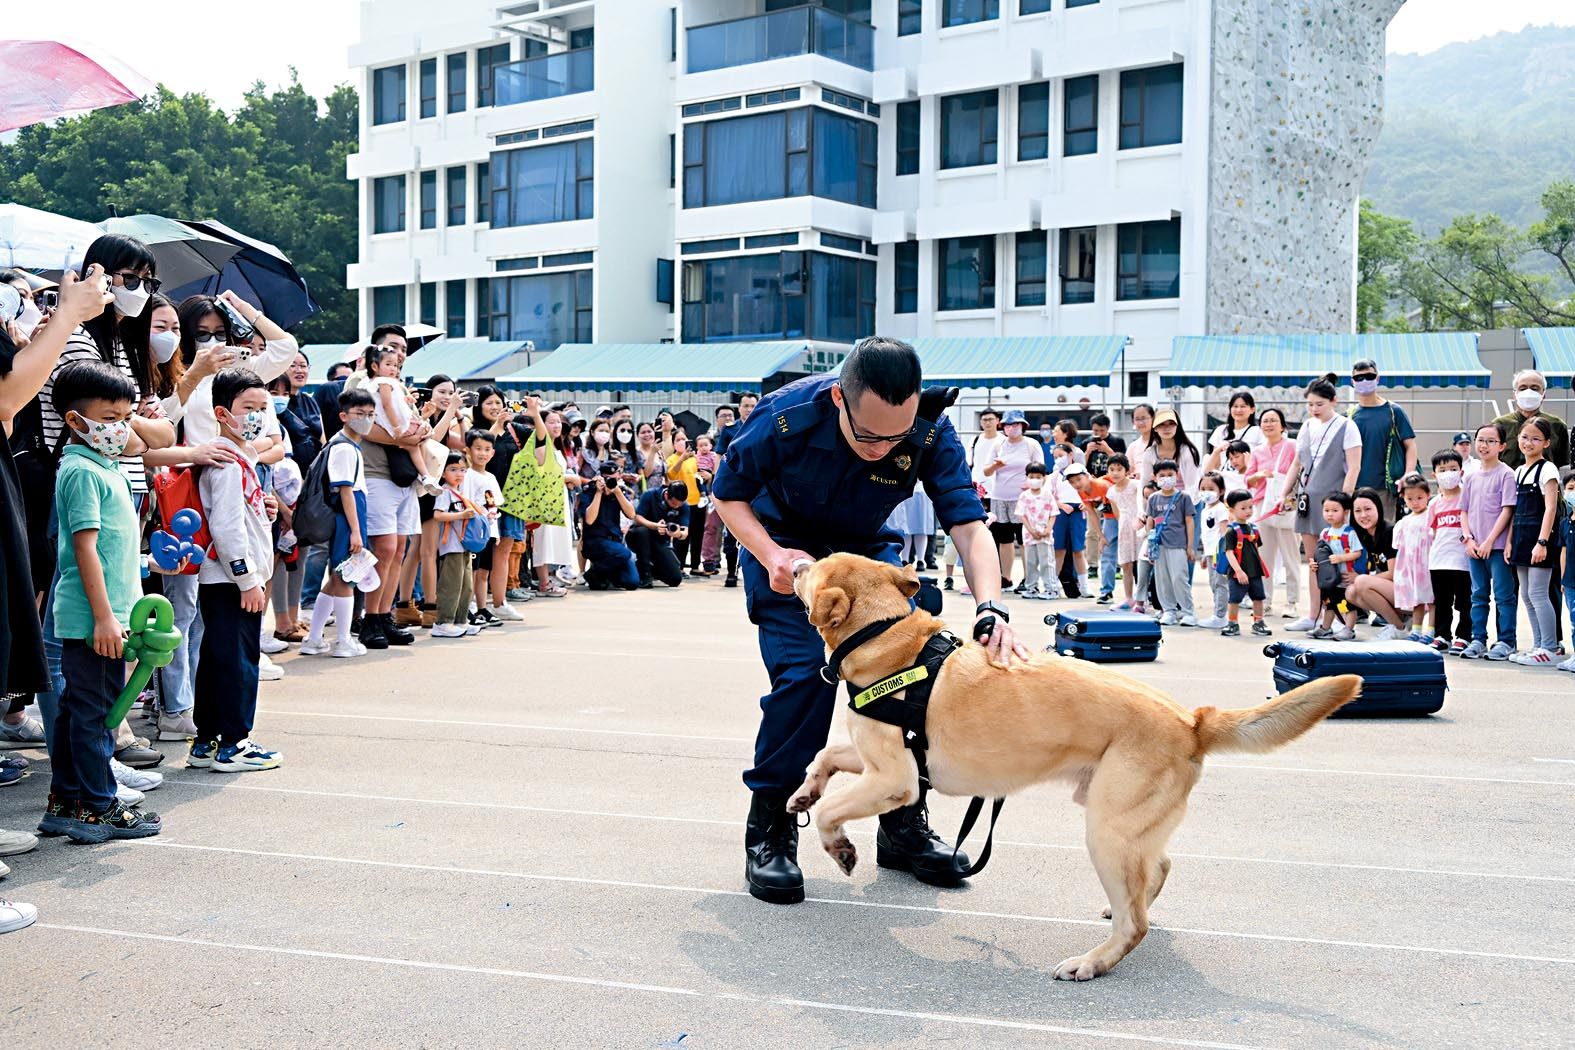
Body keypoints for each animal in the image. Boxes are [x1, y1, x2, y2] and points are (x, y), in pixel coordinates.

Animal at [793, 554, 1360, 982]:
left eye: (812, 569)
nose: (792, 563)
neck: (887, 638)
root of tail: (1191, 720)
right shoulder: (877, 763)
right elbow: (825, 758)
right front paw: (803, 793)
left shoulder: (896, 780)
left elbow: (832, 812)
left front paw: (840, 848)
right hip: (1124, 824)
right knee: (1157, 871)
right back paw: (1124, 909)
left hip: (1107, 830)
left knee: (1137, 924)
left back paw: (1093, 962)